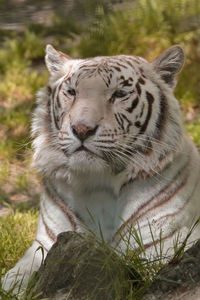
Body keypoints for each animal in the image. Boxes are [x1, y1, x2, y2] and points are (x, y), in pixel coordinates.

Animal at [2, 43, 200, 292]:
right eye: (72, 92)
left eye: (119, 94)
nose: (81, 129)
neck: (98, 184)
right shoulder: (46, 243)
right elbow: (13, 280)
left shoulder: (158, 246)